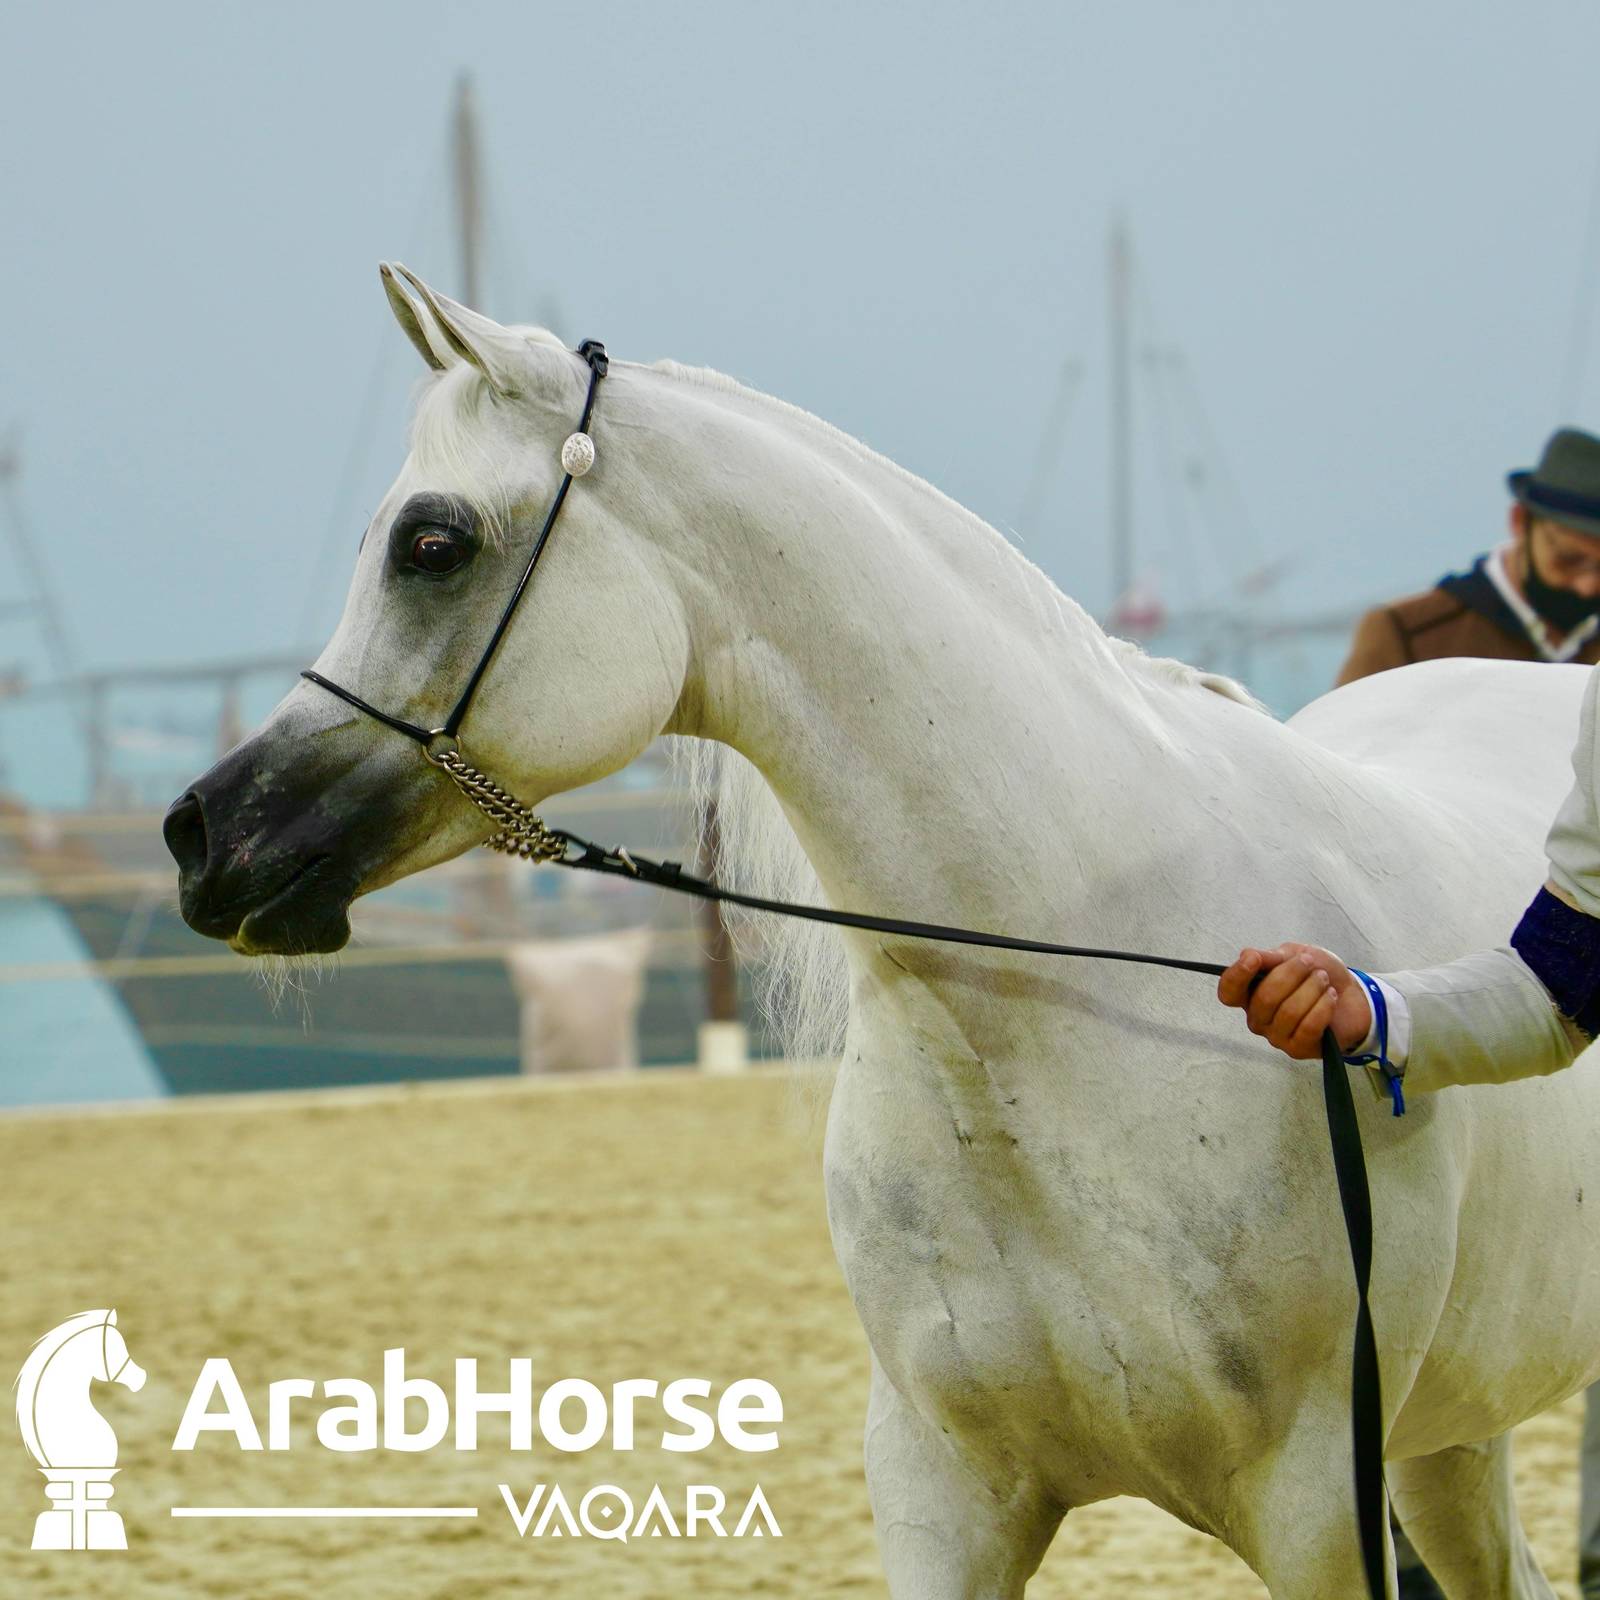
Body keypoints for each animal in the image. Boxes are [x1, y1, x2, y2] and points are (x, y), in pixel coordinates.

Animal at [165, 263, 1600, 1597]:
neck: (1059, 1012)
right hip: (1450, 1436)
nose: (203, 837)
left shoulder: (1316, 1508)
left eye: (433, 544)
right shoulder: (940, 1487)